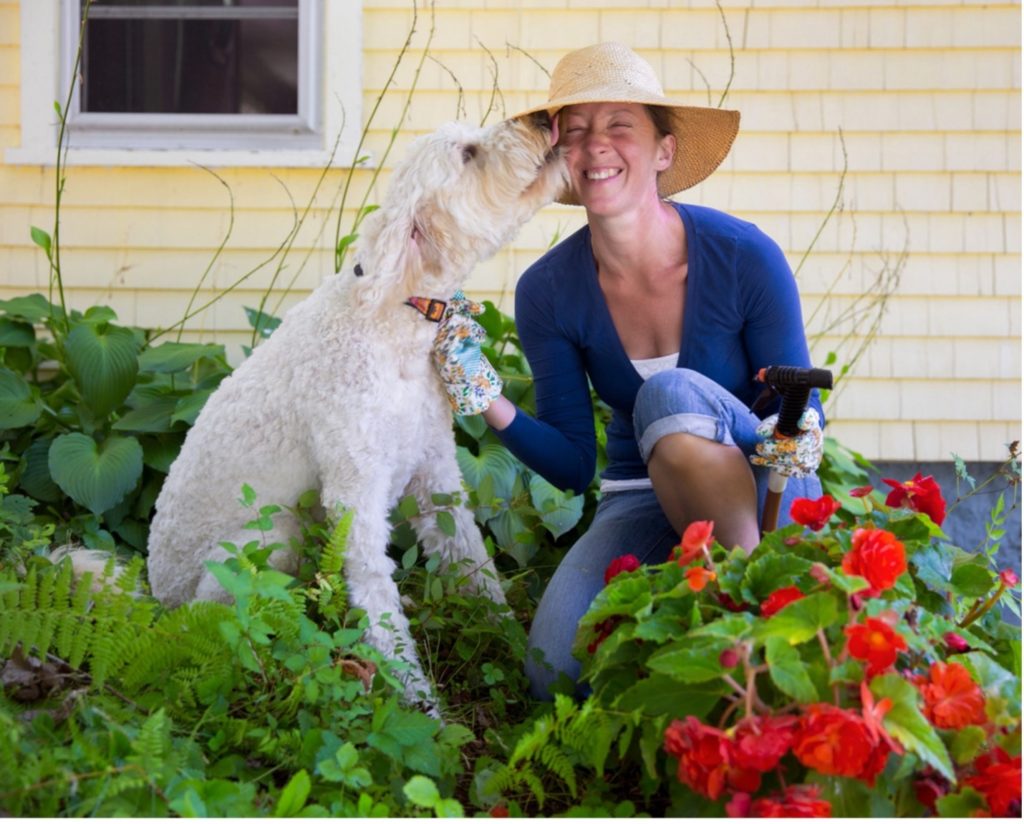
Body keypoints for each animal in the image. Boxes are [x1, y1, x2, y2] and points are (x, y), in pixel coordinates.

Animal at [143, 112, 565, 712]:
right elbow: (376, 594)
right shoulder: (354, 493)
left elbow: (472, 562)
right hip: (266, 542)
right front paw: (419, 703)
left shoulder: (435, 472)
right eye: (467, 153)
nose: (543, 118)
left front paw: (508, 641)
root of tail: (158, 599)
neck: (395, 319)